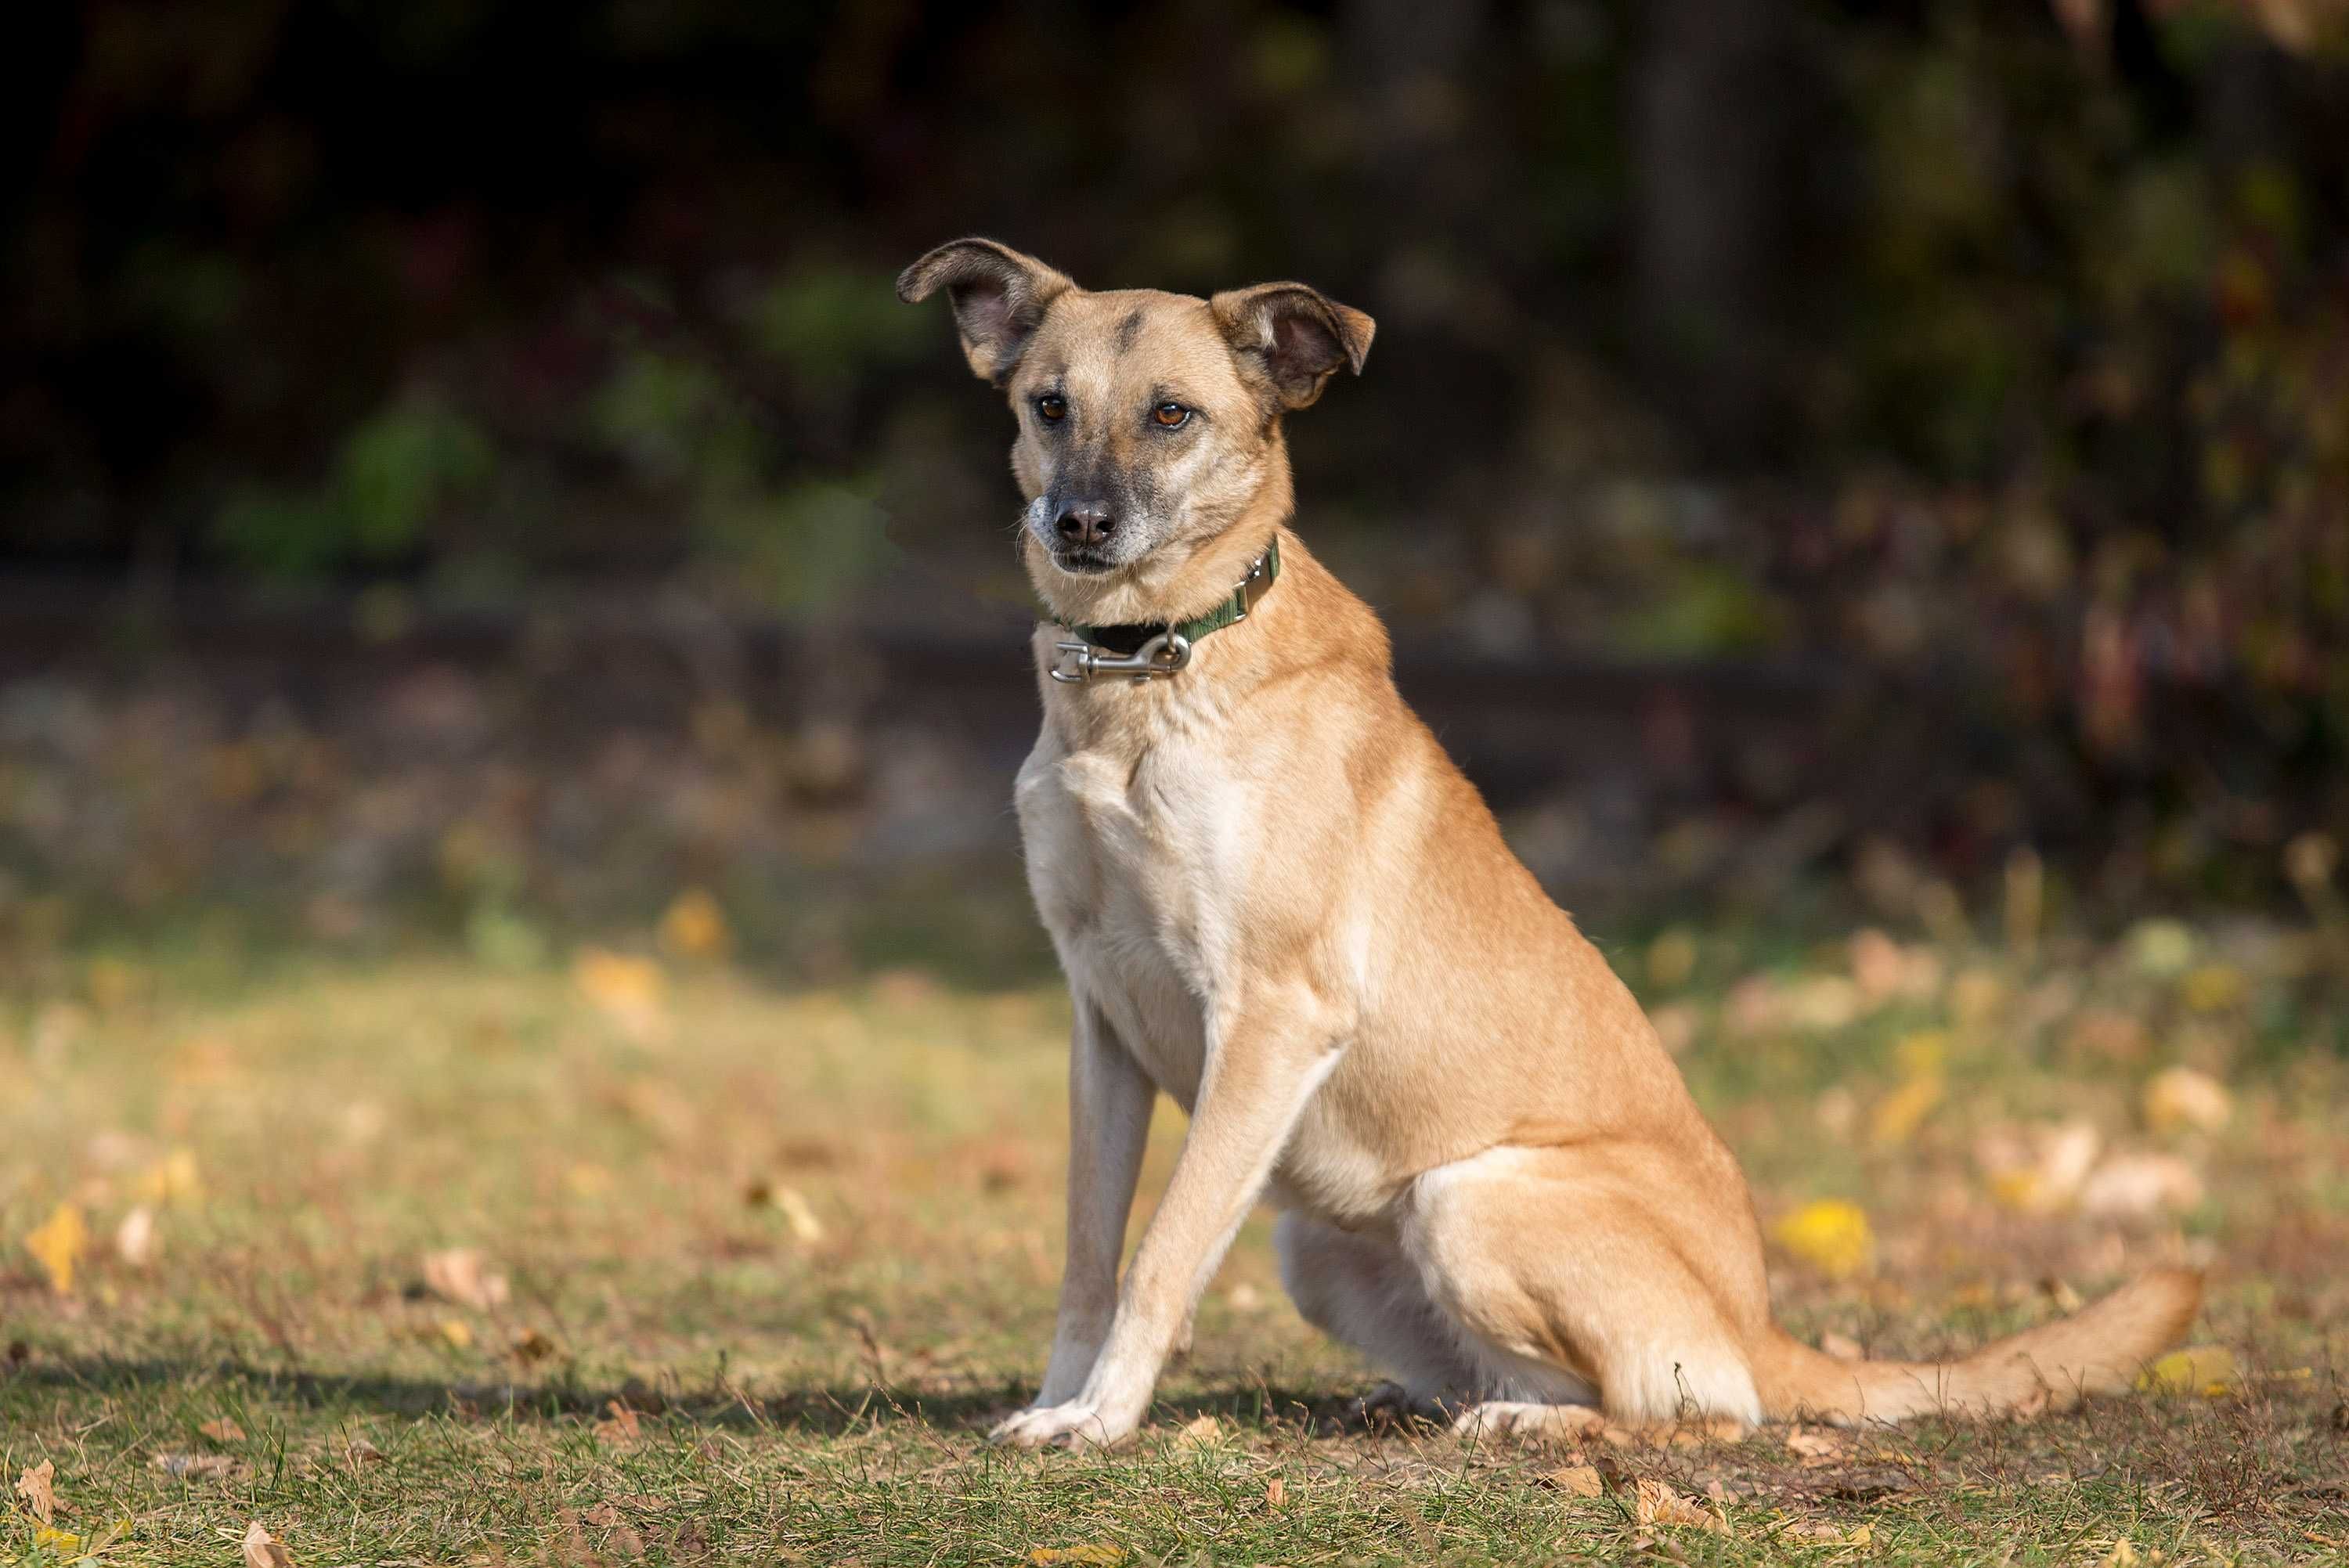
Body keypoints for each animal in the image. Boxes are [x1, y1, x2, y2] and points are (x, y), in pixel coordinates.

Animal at [893, 232, 2199, 1446]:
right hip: (1319, 1241)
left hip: (1466, 1193)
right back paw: (1432, 1401)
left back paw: (1533, 1424)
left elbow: (1161, 1248)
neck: (1144, 672)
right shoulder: (1101, 1022)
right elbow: (1088, 1253)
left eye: (1172, 414)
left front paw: (1102, 1417)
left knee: (1688, 1401)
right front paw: (1059, 1400)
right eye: (1048, 406)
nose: (1077, 523)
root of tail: (1760, 1322)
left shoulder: (1270, 1014)